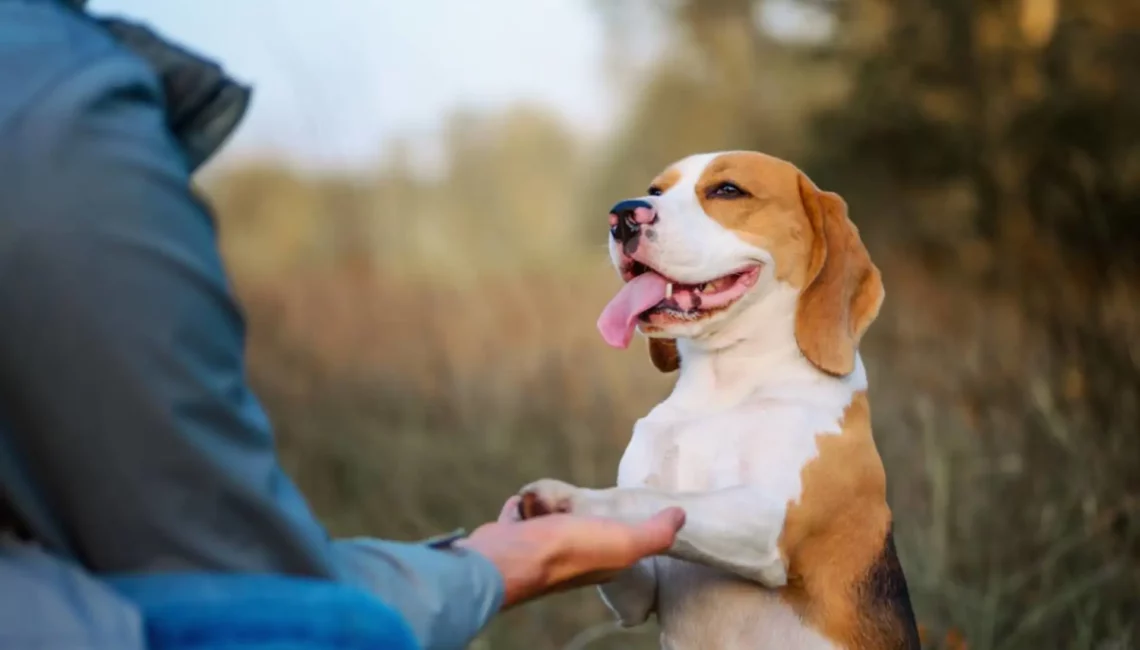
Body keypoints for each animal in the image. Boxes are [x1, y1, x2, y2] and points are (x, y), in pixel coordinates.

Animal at [515, 151, 916, 647]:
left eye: (727, 190)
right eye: (655, 191)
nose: (623, 215)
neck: (722, 387)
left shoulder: (767, 522)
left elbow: (649, 500)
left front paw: (569, 502)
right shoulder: (638, 594)